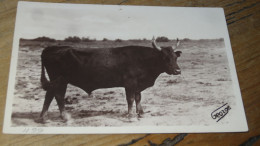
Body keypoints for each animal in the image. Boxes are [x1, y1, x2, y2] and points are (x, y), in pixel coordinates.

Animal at [38, 40, 182, 121]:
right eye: (165, 57)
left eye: (175, 57)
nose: (178, 71)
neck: (143, 60)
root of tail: (50, 48)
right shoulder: (130, 83)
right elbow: (130, 99)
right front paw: (130, 116)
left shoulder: (137, 84)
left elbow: (138, 98)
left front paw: (141, 113)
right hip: (59, 79)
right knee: (56, 95)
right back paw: (62, 117)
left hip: (59, 80)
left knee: (51, 95)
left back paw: (44, 117)